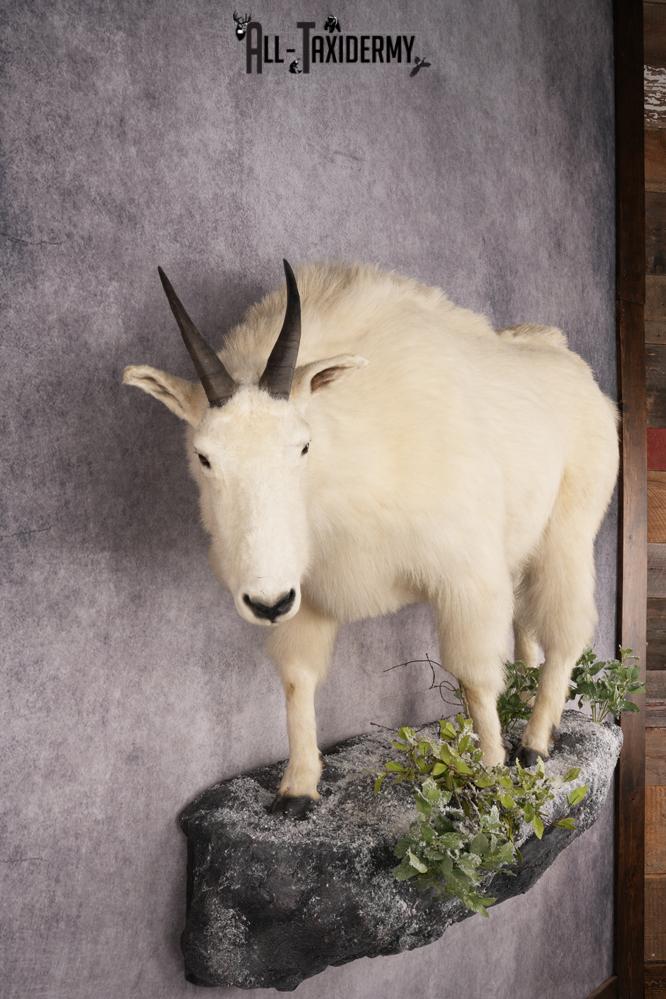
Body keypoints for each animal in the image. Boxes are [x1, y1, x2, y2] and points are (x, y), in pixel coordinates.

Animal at [123, 260, 619, 817]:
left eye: (303, 445)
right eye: (204, 456)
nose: (267, 602)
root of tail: (575, 368)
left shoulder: (465, 577)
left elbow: (473, 677)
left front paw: (491, 776)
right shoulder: (308, 595)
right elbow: (297, 680)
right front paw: (297, 788)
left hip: (568, 533)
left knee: (566, 631)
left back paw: (535, 741)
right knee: (528, 624)